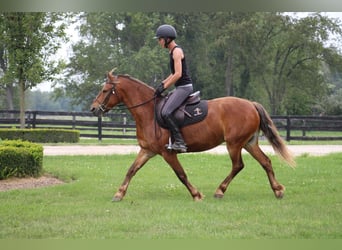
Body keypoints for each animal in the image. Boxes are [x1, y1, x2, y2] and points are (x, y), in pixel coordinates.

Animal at [91, 70, 296, 201]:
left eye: (104, 90)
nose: (93, 109)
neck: (149, 112)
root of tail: (251, 104)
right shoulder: (147, 150)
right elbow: (131, 170)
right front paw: (119, 194)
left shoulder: (167, 153)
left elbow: (181, 174)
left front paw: (196, 195)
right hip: (249, 143)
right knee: (265, 162)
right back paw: (277, 190)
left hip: (234, 144)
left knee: (238, 165)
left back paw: (220, 191)